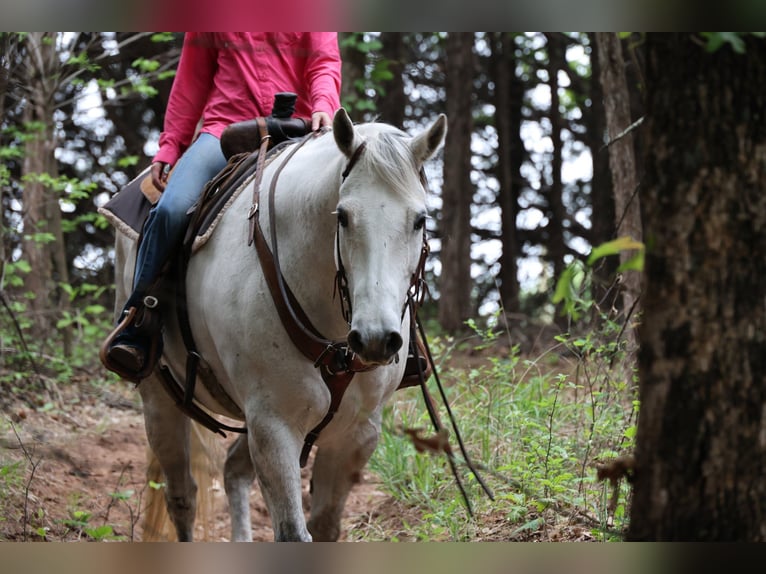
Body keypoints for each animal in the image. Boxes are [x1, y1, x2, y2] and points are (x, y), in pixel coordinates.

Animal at [113, 109, 448, 541]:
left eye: (420, 219)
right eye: (343, 216)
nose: (375, 340)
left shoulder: (356, 433)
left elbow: (325, 527)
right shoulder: (274, 427)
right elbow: (292, 532)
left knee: (233, 471)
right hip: (159, 398)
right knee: (182, 497)